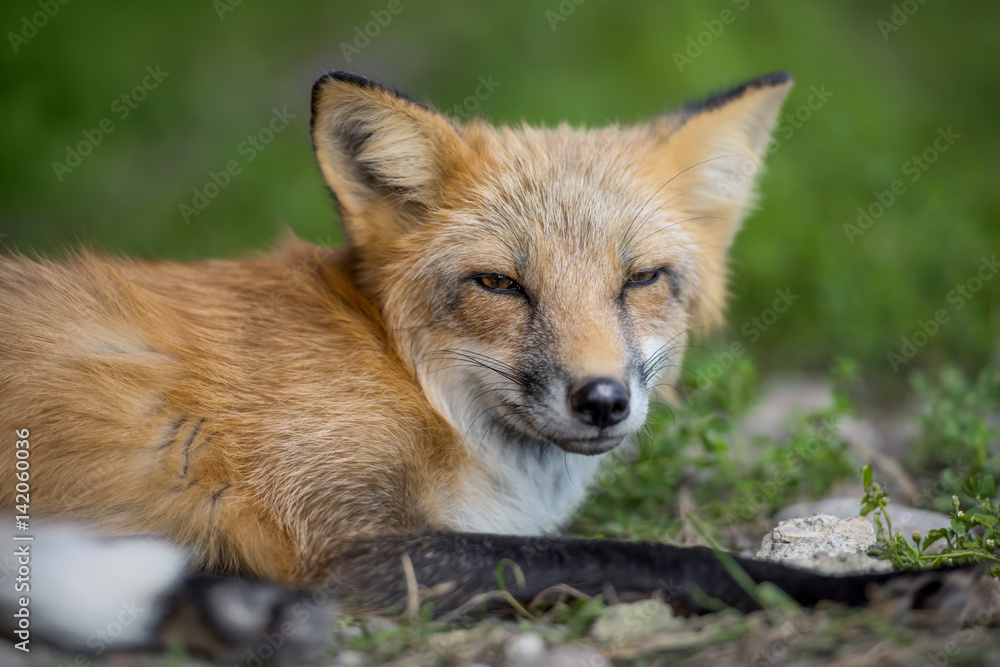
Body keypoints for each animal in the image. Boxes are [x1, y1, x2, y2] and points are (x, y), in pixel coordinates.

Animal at [0, 70, 984, 657]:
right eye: (501, 284)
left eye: (641, 279)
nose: (602, 399)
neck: (413, 382)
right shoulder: (346, 548)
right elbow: (667, 560)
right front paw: (890, 587)